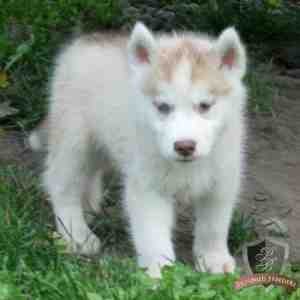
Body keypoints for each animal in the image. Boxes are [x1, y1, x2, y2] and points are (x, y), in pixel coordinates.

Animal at [29, 23, 246, 278]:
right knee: (61, 184)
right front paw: (161, 272)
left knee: (90, 173)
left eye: (205, 106)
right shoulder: (147, 188)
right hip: (74, 141)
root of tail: (86, 41)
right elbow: (153, 234)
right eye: (163, 107)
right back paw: (77, 234)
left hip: (101, 144)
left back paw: (89, 206)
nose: (184, 146)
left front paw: (214, 259)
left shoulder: (221, 182)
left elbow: (214, 225)